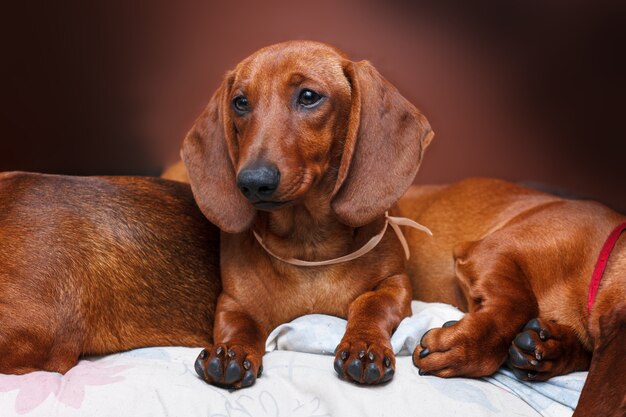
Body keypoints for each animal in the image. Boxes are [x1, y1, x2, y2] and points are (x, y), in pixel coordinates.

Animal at [183, 40, 432, 388]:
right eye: (240, 102)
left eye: (309, 96)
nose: (252, 182)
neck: (309, 246)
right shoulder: (232, 302)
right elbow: (242, 324)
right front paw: (231, 350)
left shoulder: (397, 283)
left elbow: (372, 303)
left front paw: (365, 345)